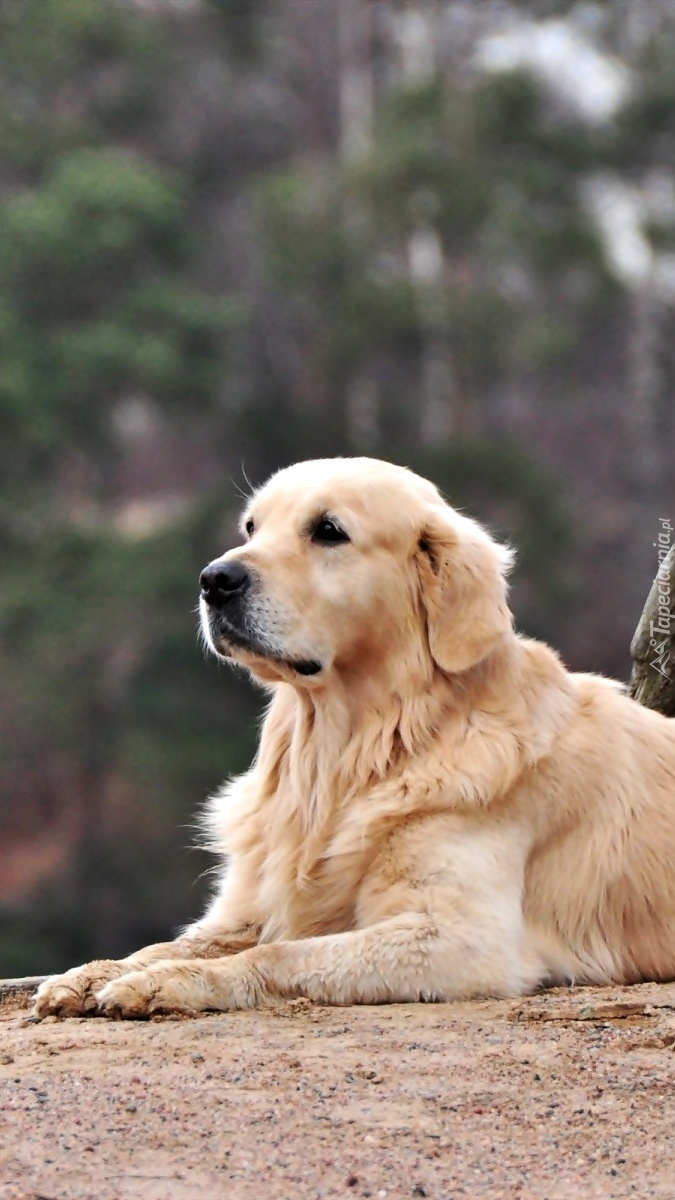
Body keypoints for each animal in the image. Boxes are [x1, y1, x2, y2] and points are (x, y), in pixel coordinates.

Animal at [34, 453, 672, 1017]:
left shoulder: (463, 936)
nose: (215, 579)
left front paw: (169, 982)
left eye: (328, 531)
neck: (358, 749)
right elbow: (169, 942)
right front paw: (90, 974)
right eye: (251, 527)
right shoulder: (247, 905)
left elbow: (279, 954)